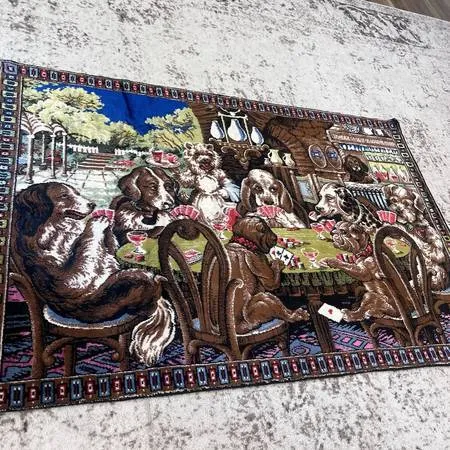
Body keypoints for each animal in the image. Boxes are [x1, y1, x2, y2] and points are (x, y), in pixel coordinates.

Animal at [12, 182, 176, 364]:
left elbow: (107, 248)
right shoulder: (70, 280)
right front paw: (97, 221)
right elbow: (86, 246)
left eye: (76, 192)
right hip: (124, 282)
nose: (92, 205)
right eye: (64, 195)